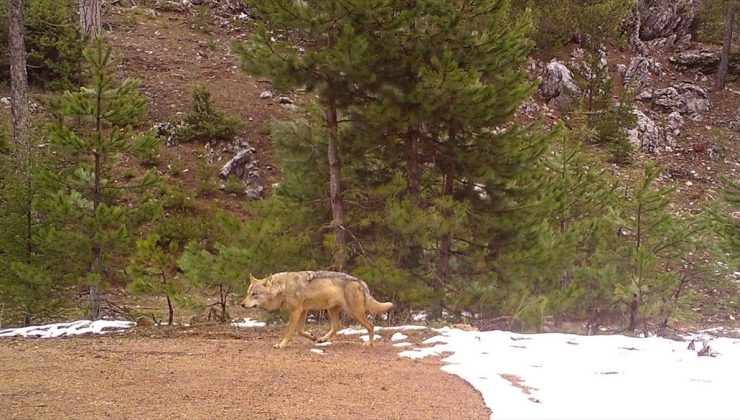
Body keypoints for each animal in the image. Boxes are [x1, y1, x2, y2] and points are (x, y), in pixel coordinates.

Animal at [241, 272, 394, 348]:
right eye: (248, 293)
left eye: (254, 294)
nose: (242, 304)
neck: (283, 287)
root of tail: (360, 282)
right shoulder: (303, 311)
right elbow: (300, 331)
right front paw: (312, 336)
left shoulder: (296, 311)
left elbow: (289, 331)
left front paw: (281, 344)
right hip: (332, 310)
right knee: (337, 326)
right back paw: (322, 339)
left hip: (354, 313)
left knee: (371, 326)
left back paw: (370, 343)